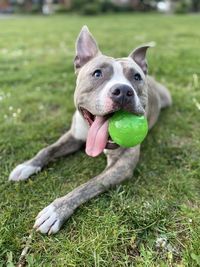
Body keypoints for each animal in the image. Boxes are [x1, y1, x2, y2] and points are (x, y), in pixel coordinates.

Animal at [9, 25, 172, 234]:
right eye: (97, 73)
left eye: (136, 77)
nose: (123, 91)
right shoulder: (73, 135)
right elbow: (48, 150)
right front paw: (27, 166)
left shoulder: (121, 166)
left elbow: (88, 185)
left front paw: (56, 210)